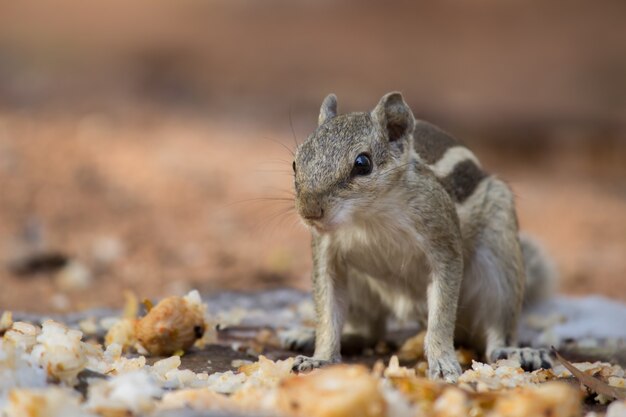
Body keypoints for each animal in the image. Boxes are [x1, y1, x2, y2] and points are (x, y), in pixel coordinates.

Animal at [286, 91, 552, 380]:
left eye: (362, 163)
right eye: (295, 163)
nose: (309, 211)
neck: (368, 215)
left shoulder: (443, 243)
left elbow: (442, 314)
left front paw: (443, 362)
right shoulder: (327, 256)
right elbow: (327, 312)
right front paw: (320, 358)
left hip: (500, 263)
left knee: (496, 333)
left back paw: (517, 352)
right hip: (359, 286)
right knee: (370, 331)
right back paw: (313, 335)